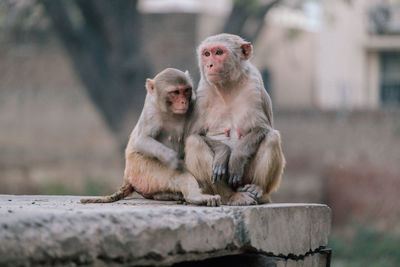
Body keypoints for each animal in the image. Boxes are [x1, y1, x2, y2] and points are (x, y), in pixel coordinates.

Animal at [79, 68, 220, 206]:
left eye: (186, 90)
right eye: (175, 92)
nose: (183, 102)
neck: (171, 112)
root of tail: (127, 178)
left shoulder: (196, 103)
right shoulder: (152, 112)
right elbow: (141, 140)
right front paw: (171, 157)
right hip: (141, 168)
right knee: (178, 174)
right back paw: (195, 197)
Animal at [184, 33, 284, 205]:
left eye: (218, 52)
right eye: (206, 54)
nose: (209, 65)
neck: (227, 87)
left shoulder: (254, 87)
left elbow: (262, 128)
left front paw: (236, 158)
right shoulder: (203, 93)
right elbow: (194, 134)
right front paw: (223, 153)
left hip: (245, 178)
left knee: (272, 137)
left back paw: (258, 190)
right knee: (194, 142)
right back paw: (230, 196)